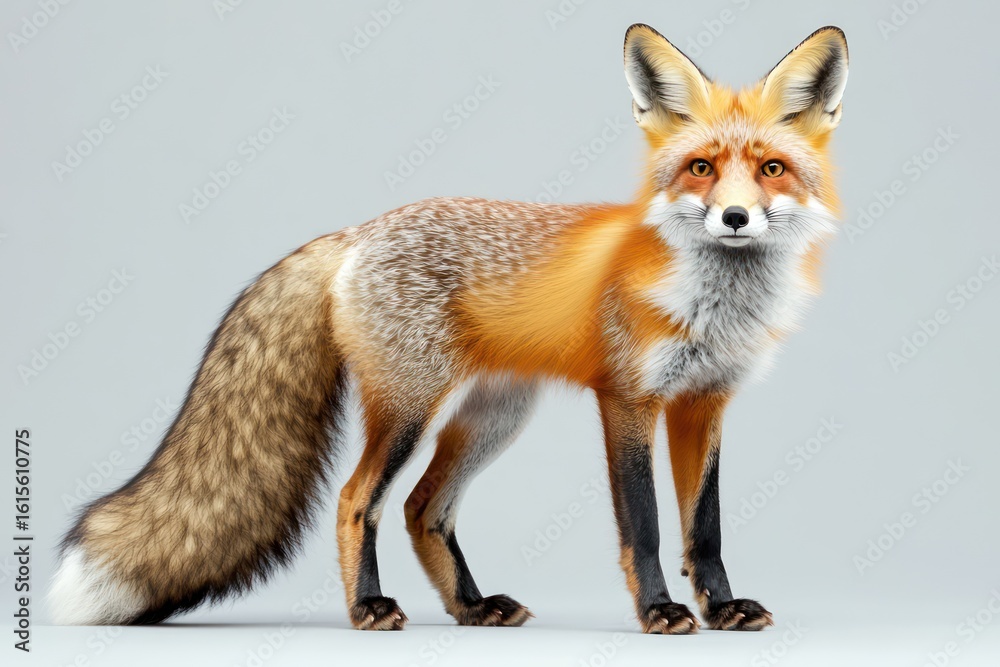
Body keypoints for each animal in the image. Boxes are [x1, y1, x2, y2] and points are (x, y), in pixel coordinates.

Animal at [51, 24, 849, 634]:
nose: (735, 218)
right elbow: (647, 527)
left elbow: (703, 527)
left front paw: (721, 607)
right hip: (409, 407)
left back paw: (470, 605)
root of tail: (356, 233)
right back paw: (368, 607)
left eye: (772, 169)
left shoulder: (703, 402)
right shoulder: (627, 399)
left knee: (421, 507)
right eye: (701, 168)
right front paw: (659, 611)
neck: (712, 302)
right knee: (358, 500)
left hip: (495, 416)